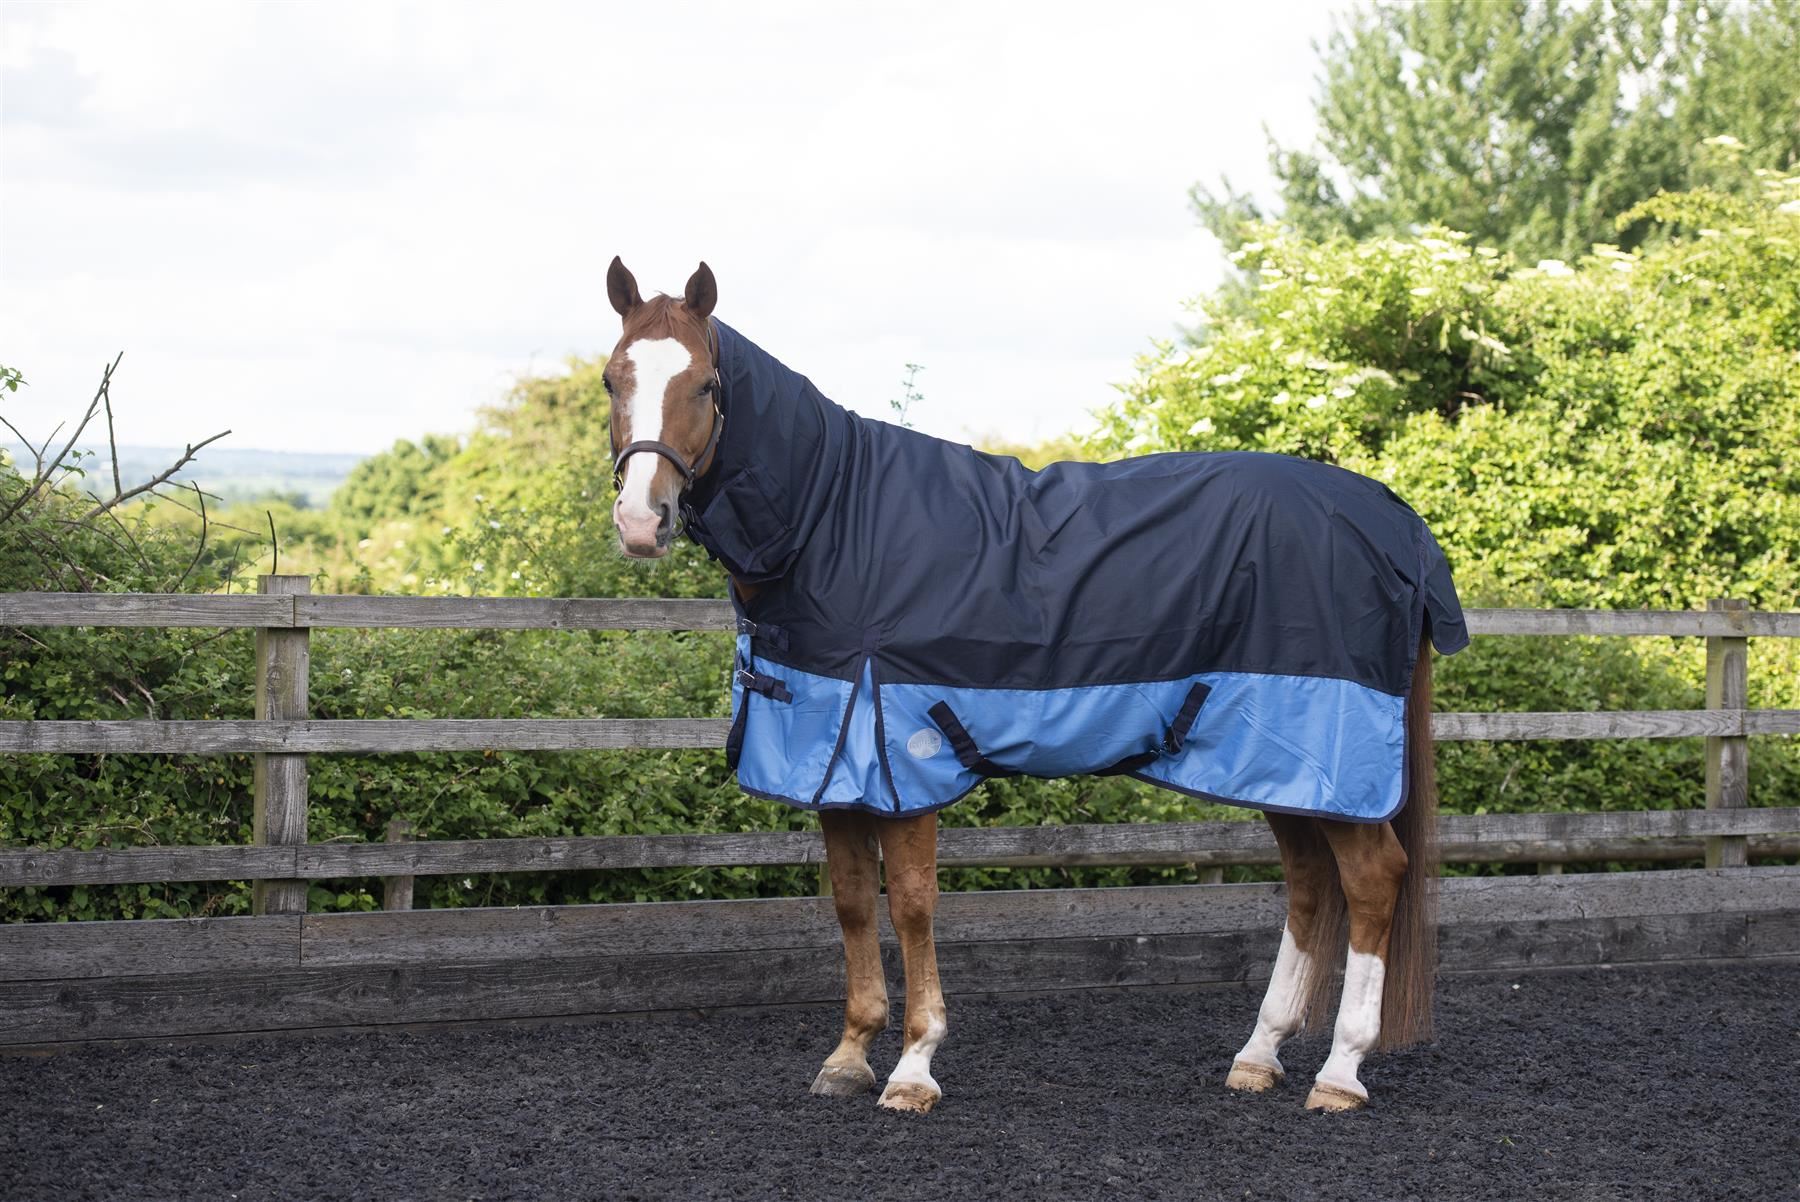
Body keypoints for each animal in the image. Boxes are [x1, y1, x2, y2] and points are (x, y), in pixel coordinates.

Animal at [602, 257, 1466, 1115]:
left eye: (706, 384)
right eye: (614, 379)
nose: (644, 521)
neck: (836, 522)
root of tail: (1397, 522)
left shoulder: (904, 757)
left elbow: (910, 902)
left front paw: (914, 1066)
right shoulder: (834, 762)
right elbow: (850, 900)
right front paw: (849, 1057)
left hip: (1329, 757)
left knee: (1372, 879)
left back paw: (1340, 1073)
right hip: (1282, 765)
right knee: (1311, 883)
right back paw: (1259, 1054)